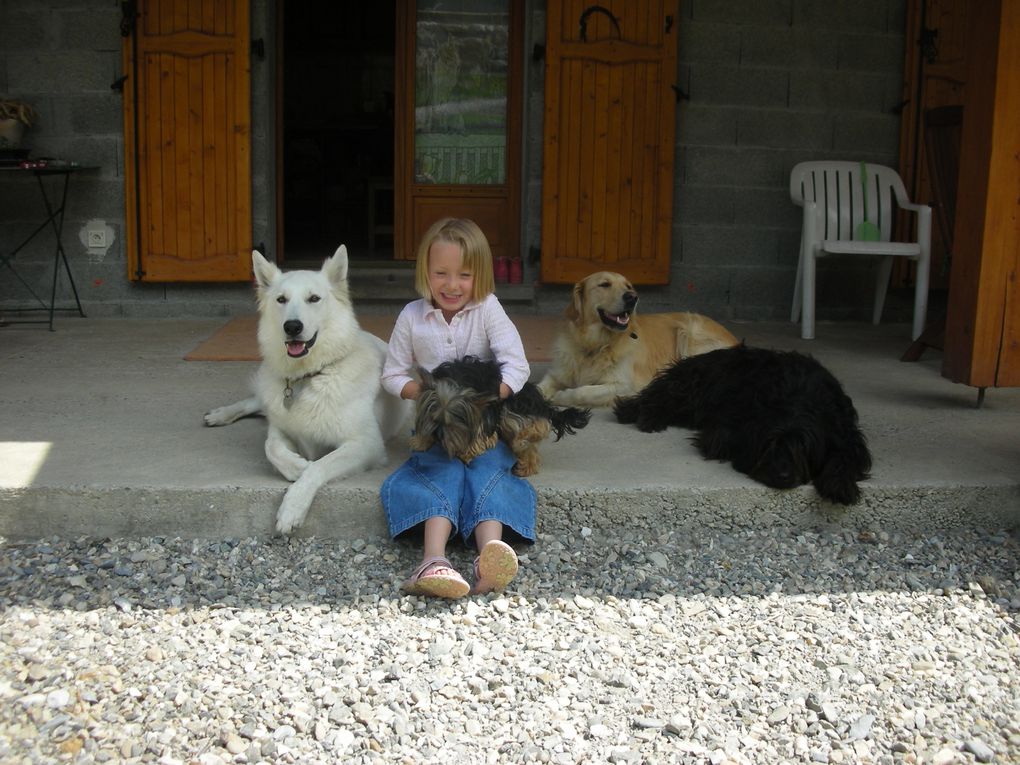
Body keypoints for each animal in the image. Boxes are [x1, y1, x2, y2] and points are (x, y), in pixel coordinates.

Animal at [205, 248, 412, 534]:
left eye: (314, 298)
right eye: (281, 299)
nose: (292, 327)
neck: (310, 377)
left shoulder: (366, 444)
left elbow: (319, 466)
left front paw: (293, 506)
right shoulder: (280, 430)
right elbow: (272, 447)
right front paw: (297, 466)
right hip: (266, 399)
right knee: (254, 402)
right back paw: (220, 415)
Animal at [410, 357, 595, 477]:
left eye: (451, 425)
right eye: (434, 420)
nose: (438, 436)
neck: (456, 383)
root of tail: (543, 406)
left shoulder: (485, 408)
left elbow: (480, 431)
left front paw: (468, 452)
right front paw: (422, 441)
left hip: (515, 405)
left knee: (533, 426)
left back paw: (523, 440)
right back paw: (526, 466)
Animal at [607, 346, 873, 503]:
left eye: (803, 448)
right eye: (769, 444)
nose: (782, 475)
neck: (797, 399)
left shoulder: (845, 434)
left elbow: (844, 458)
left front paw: (840, 485)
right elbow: (719, 441)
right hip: (693, 385)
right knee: (660, 395)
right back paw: (639, 414)